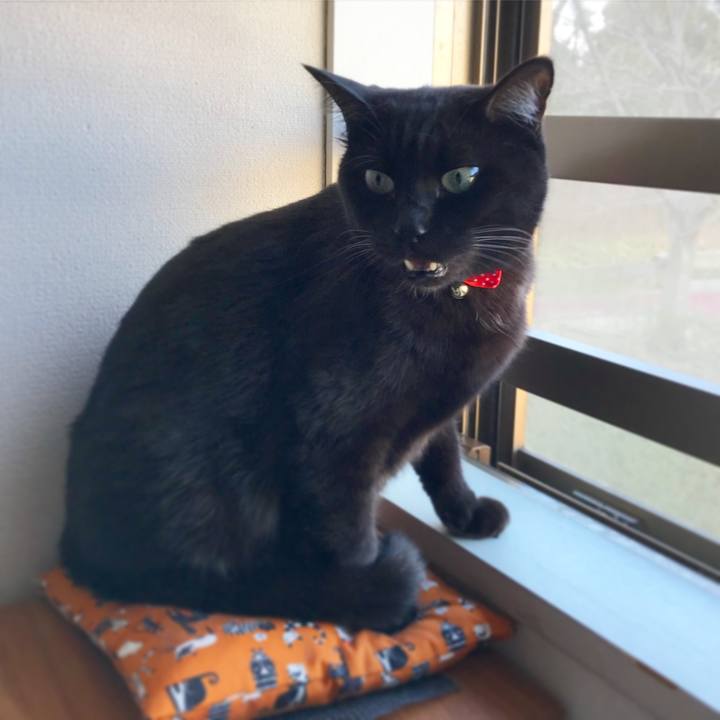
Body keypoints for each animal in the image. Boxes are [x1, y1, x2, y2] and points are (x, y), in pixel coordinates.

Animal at [60, 56, 553, 632]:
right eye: (378, 179)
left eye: (461, 177)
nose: (409, 228)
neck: (454, 301)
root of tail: (74, 545)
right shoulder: (332, 434)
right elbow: (349, 533)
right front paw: (371, 606)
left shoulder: (441, 403)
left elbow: (444, 456)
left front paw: (466, 513)